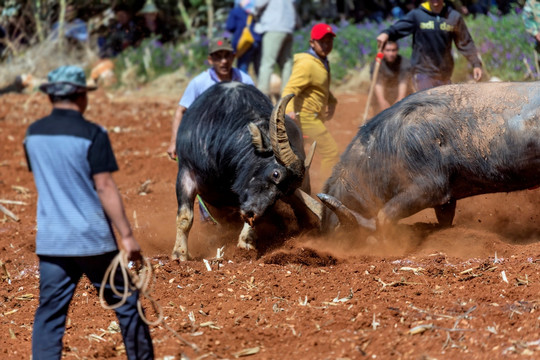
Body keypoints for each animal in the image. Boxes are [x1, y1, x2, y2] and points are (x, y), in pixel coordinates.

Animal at [173, 83, 318, 260]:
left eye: (282, 193)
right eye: (276, 174)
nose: (252, 214)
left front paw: (246, 241)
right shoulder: (187, 172)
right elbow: (185, 218)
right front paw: (180, 253)